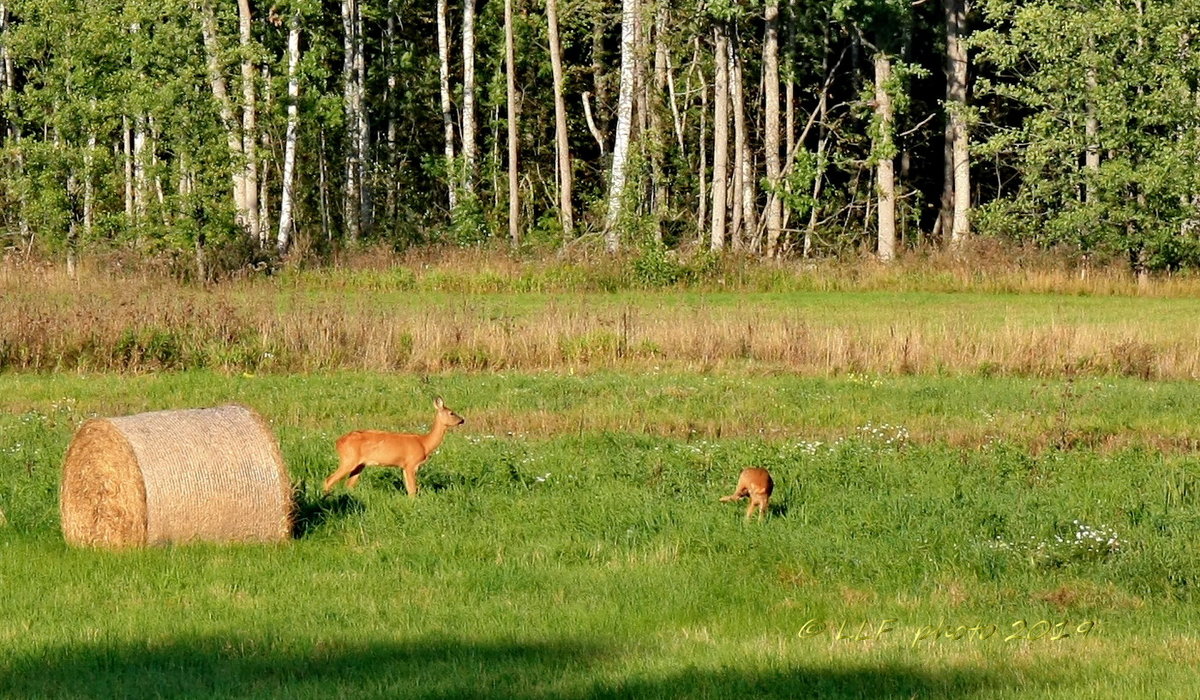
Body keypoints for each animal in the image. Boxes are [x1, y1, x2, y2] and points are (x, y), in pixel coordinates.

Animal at [324, 396, 463, 494]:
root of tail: (338, 442)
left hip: (359, 465)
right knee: (328, 480)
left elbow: (409, 488)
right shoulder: (411, 463)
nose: (462, 420)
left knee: (348, 485)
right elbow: (413, 490)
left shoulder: (404, 467)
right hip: (348, 459)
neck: (424, 443)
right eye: (451, 413)